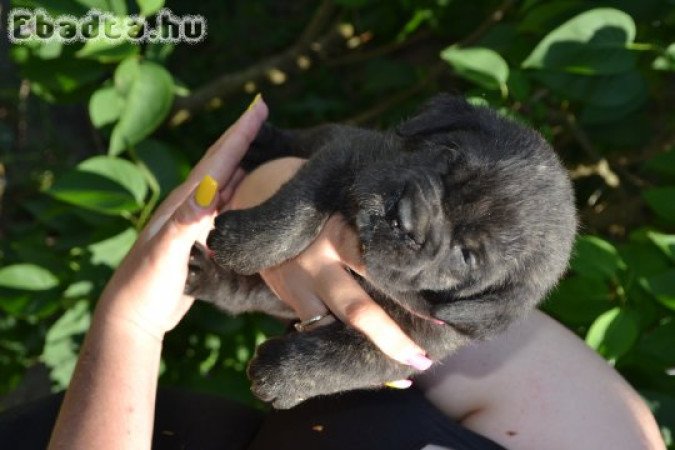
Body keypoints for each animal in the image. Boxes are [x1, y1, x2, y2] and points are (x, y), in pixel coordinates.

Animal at [185, 94, 576, 408]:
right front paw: (245, 244)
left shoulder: (418, 339)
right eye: (446, 157)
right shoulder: (353, 153)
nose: (405, 219)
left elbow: (344, 359)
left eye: (466, 256)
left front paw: (282, 376)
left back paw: (204, 275)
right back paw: (262, 145)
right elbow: (297, 208)